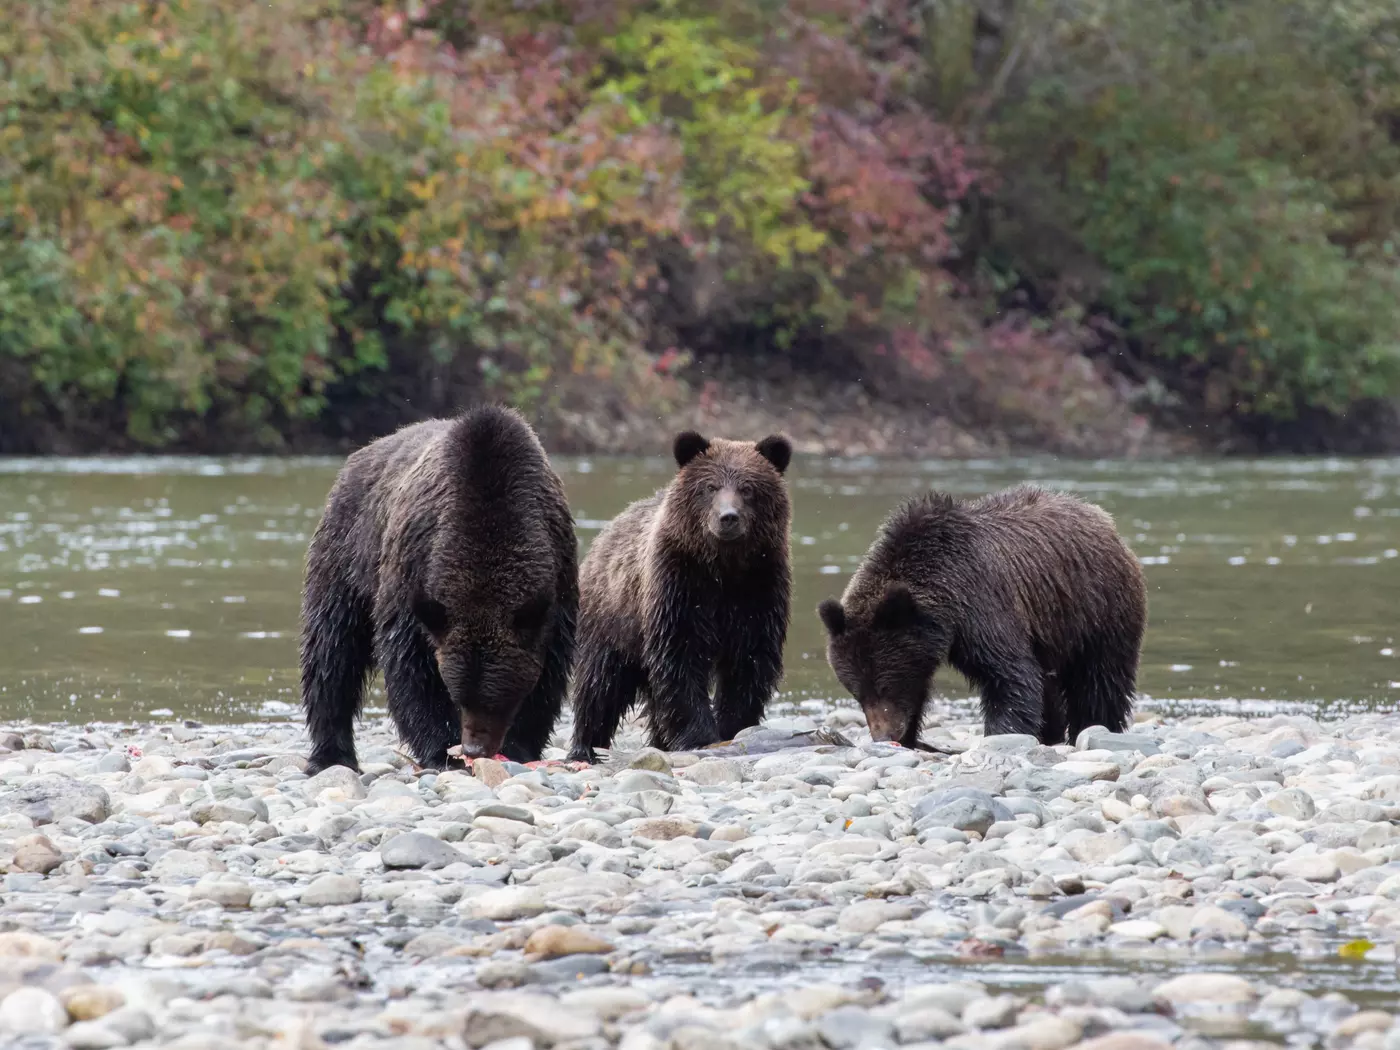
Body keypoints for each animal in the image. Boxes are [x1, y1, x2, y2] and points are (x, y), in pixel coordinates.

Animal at [299, 404, 577, 774]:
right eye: (460, 696)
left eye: (496, 698)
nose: (474, 747)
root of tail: (361, 454)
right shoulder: (414, 574)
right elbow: (412, 666)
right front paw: (442, 750)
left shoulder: (557, 579)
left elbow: (549, 671)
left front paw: (518, 744)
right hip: (346, 554)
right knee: (332, 650)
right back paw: (331, 754)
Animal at [566, 430, 793, 762]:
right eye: (710, 487)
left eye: (748, 488)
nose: (728, 517)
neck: (723, 566)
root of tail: (604, 533)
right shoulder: (679, 584)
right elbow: (680, 656)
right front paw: (699, 736)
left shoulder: (758, 586)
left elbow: (749, 661)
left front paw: (734, 727)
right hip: (612, 620)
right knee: (600, 685)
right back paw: (585, 747)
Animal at [817, 483, 1146, 747]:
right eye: (857, 692)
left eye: (885, 685)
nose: (883, 736)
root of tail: (1103, 519)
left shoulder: (982, 604)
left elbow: (1010, 676)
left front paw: (1002, 735)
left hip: (1097, 609)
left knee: (1099, 679)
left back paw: (1093, 727)